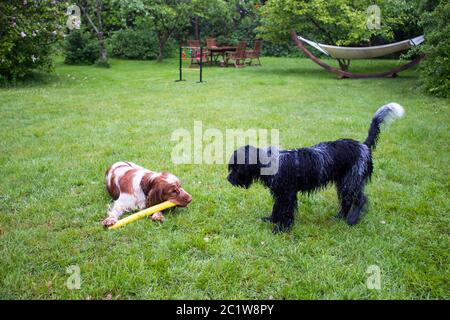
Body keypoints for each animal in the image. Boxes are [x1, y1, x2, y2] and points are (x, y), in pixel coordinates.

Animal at [227, 104, 406, 234]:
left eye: (237, 167)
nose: (228, 179)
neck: (270, 162)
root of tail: (363, 145)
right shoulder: (280, 194)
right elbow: (277, 209)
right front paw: (272, 220)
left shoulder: (287, 195)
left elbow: (285, 212)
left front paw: (281, 229)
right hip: (344, 182)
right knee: (347, 201)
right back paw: (340, 217)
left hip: (351, 182)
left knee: (359, 200)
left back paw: (352, 220)